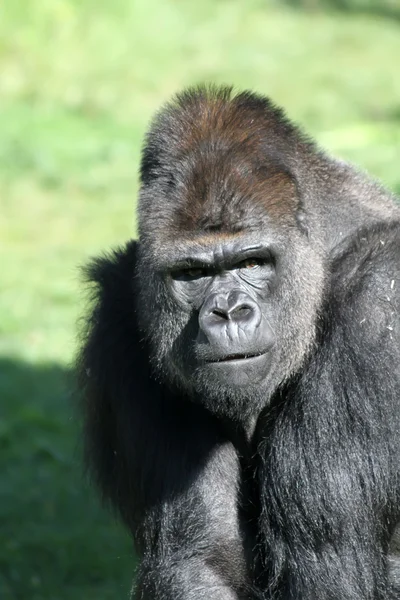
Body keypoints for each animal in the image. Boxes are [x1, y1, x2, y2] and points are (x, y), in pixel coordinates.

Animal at [78, 85, 400, 600]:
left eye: (252, 263)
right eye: (192, 273)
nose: (228, 312)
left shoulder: (379, 301)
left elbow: (330, 566)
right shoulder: (120, 317)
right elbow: (203, 560)